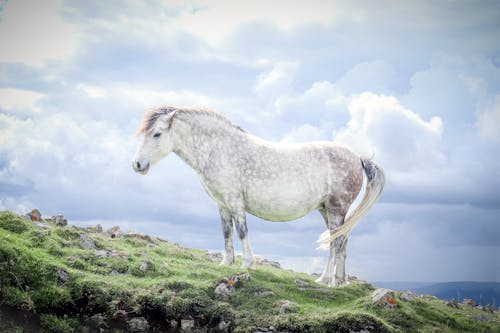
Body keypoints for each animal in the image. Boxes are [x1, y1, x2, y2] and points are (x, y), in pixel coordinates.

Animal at [131, 105, 384, 286]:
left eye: (157, 134)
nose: (137, 164)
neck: (218, 149)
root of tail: (357, 158)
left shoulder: (235, 202)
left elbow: (242, 231)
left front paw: (247, 264)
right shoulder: (222, 205)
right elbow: (226, 232)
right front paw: (226, 263)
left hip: (336, 207)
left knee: (336, 242)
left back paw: (325, 280)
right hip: (328, 210)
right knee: (342, 241)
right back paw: (340, 282)